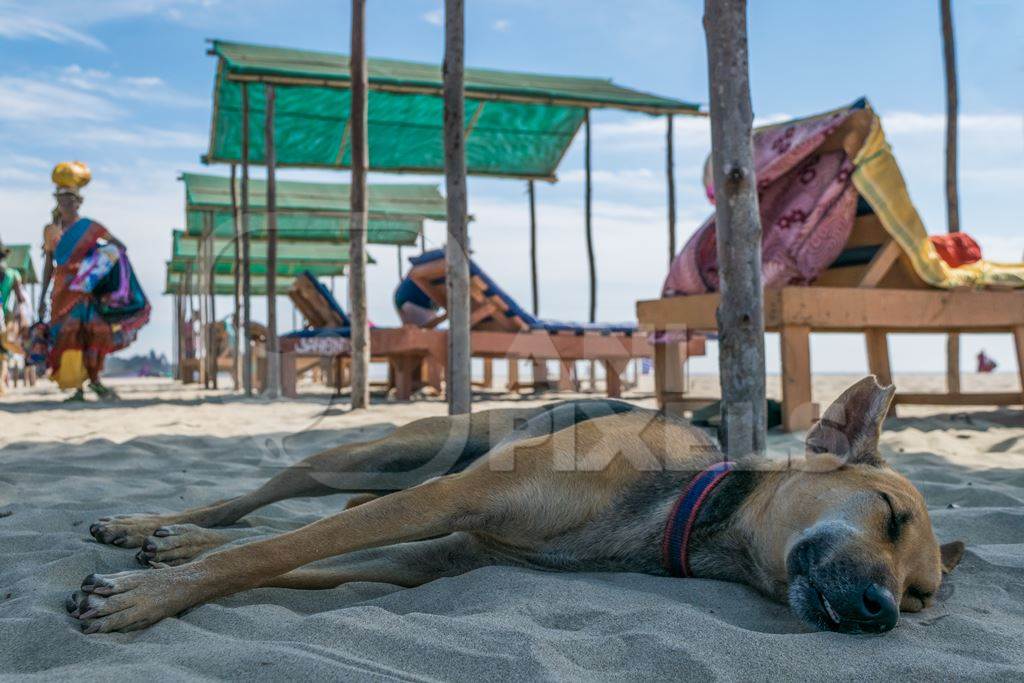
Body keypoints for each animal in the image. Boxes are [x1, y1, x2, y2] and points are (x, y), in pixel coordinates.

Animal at [70, 376, 958, 634]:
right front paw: (147, 597)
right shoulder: (457, 494)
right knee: (268, 495)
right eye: (888, 512)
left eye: (921, 597)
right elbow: (266, 550)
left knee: (310, 513)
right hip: (391, 454)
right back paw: (151, 524)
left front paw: (155, 576)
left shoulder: (433, 553)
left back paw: (168, 538)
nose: (882, 610)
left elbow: (296, 562)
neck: (676, 507)